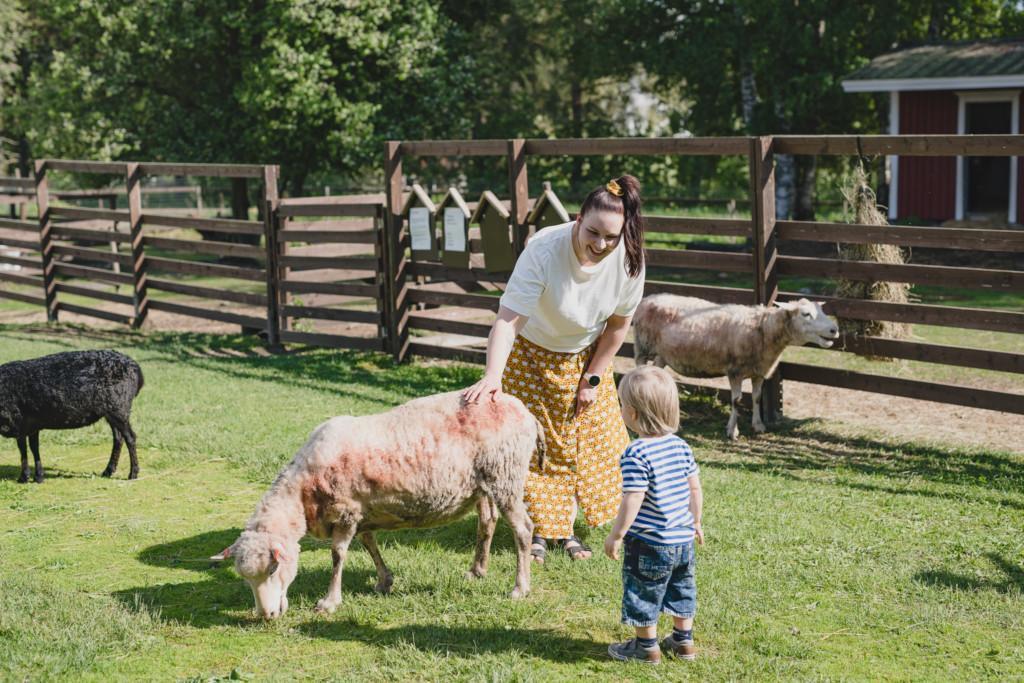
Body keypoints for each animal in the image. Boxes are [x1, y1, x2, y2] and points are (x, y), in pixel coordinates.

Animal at [0, 350, 144, 483]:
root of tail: (136, 368)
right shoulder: (31, 424)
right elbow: (32, 447)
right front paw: (38, 476)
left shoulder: (20, 422)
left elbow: (24, 449)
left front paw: (24, 477)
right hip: (111, 411)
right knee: (118, 438)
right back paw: (108, 471)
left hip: (118, 408)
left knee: (130, 437)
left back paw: (133, 474)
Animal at [209, 389, 544, 618]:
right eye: (246, 579)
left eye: (273, 569)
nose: (267, 616)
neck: (302, 492)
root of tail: (526, 412)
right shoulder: (360, 511)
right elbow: (369, 543)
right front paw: (385, 581)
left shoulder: (346, 511)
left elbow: (338, 555)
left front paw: (329, 601)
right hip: (484, 484)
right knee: (487, 521)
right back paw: (477, 570)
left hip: (506, 475)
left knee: (523, 529)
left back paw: (520, 587)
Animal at [630, 296, 839, 440]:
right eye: (805, 314)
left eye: (821, 311)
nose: (834, 330)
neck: (763, 329)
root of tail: (647, 300)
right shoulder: (735, 371)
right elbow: (736, 401)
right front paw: (732, 431)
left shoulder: (759, 371)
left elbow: (756, 398)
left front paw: (758, 425)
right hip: (643, 346)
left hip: (661, 354)